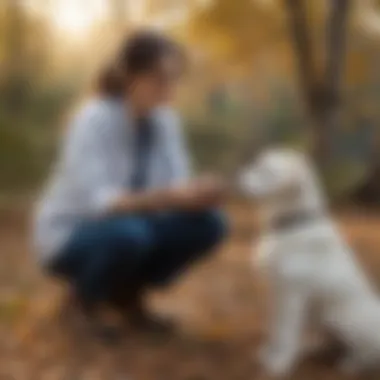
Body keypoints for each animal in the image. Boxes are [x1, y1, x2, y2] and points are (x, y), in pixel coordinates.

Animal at [239, 148, 380, 378]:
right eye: (255, 165)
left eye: (266, 171)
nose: (235, 179)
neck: (293, 224)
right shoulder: (278, 292)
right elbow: (275, 327)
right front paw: (269, 353)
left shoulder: (293, 294)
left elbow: (285, 332)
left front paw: (279, 363)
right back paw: (312, 347)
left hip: (340, 317)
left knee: (367, 353)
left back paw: (351, 364)